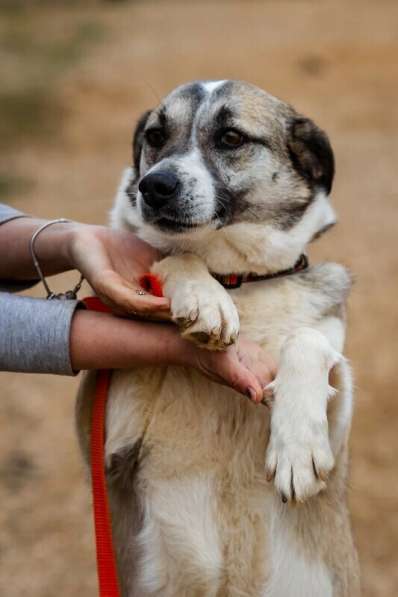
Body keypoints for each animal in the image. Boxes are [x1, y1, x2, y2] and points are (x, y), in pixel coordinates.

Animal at [77, 80, 360, 596]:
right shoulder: (107, 443)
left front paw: (297, 448)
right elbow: (172, 254)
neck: (238, 281)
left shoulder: (339, 416)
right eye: (155, 136)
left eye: (231, 138)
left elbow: (308, 341)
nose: (154, 186)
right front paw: (202, 297)